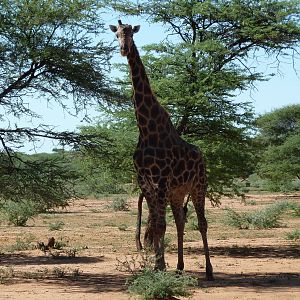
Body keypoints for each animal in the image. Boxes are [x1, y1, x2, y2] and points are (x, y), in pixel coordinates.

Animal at [110, 19, 213, 280]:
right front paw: (158, 265)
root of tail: (202, 156)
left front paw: (160, 265)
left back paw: (209, 270)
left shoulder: (161, 179)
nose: (124, 49)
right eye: (116, 34)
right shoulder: (145, 180)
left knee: (202, 222)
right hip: (178, 192)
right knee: (180, 221)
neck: (147, 128)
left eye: (131, 34)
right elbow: (157, 224)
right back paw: (180, 266)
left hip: (198, 185)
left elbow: (160, 224)